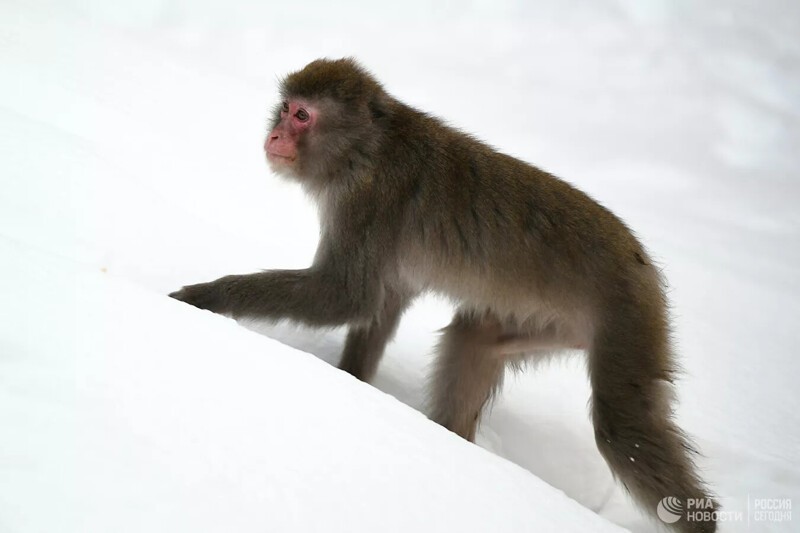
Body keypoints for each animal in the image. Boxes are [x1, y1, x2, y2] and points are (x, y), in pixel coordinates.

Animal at [170, 58, 720, 532]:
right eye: (285, 108)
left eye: (303, 115)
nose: (275, 133)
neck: (363, 149)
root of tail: (641, 260)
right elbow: (382, 303)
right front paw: (351, 383)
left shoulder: (367, 202)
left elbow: (346, 295)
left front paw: (202, 298)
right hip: (549, 321)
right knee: (473, 338)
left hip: (627, 313)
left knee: (623, 427)